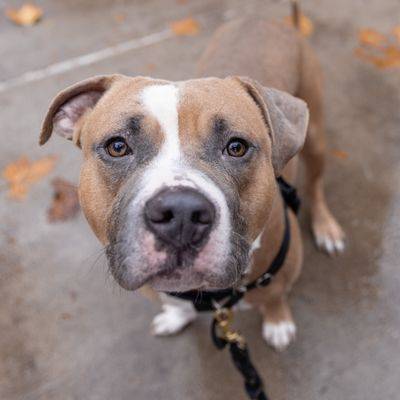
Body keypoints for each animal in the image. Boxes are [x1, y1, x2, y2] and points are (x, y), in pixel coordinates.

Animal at [39, 3, 344, 350]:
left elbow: (275, 297)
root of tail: (272, 20)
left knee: (316, 186)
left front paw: (278, 322)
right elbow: (173, 302)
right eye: (117, 146)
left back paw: (326, 228)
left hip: (315, 137)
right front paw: (176, 316)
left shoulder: (282, 274)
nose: (181, 213)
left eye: (237, 147)